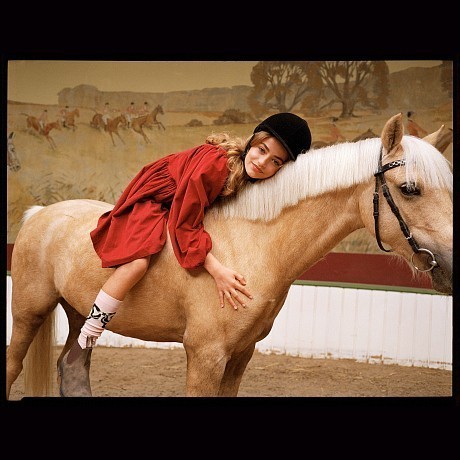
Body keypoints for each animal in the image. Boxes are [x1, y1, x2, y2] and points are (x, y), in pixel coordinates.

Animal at [6, 113, 452, 398]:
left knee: (73, 367)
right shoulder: (205, 356)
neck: (253, 245)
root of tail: (39, 214)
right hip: (30, 312)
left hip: (76, 310)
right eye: (410, 189)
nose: (450, 265)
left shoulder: (241, 354)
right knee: (14, 366)